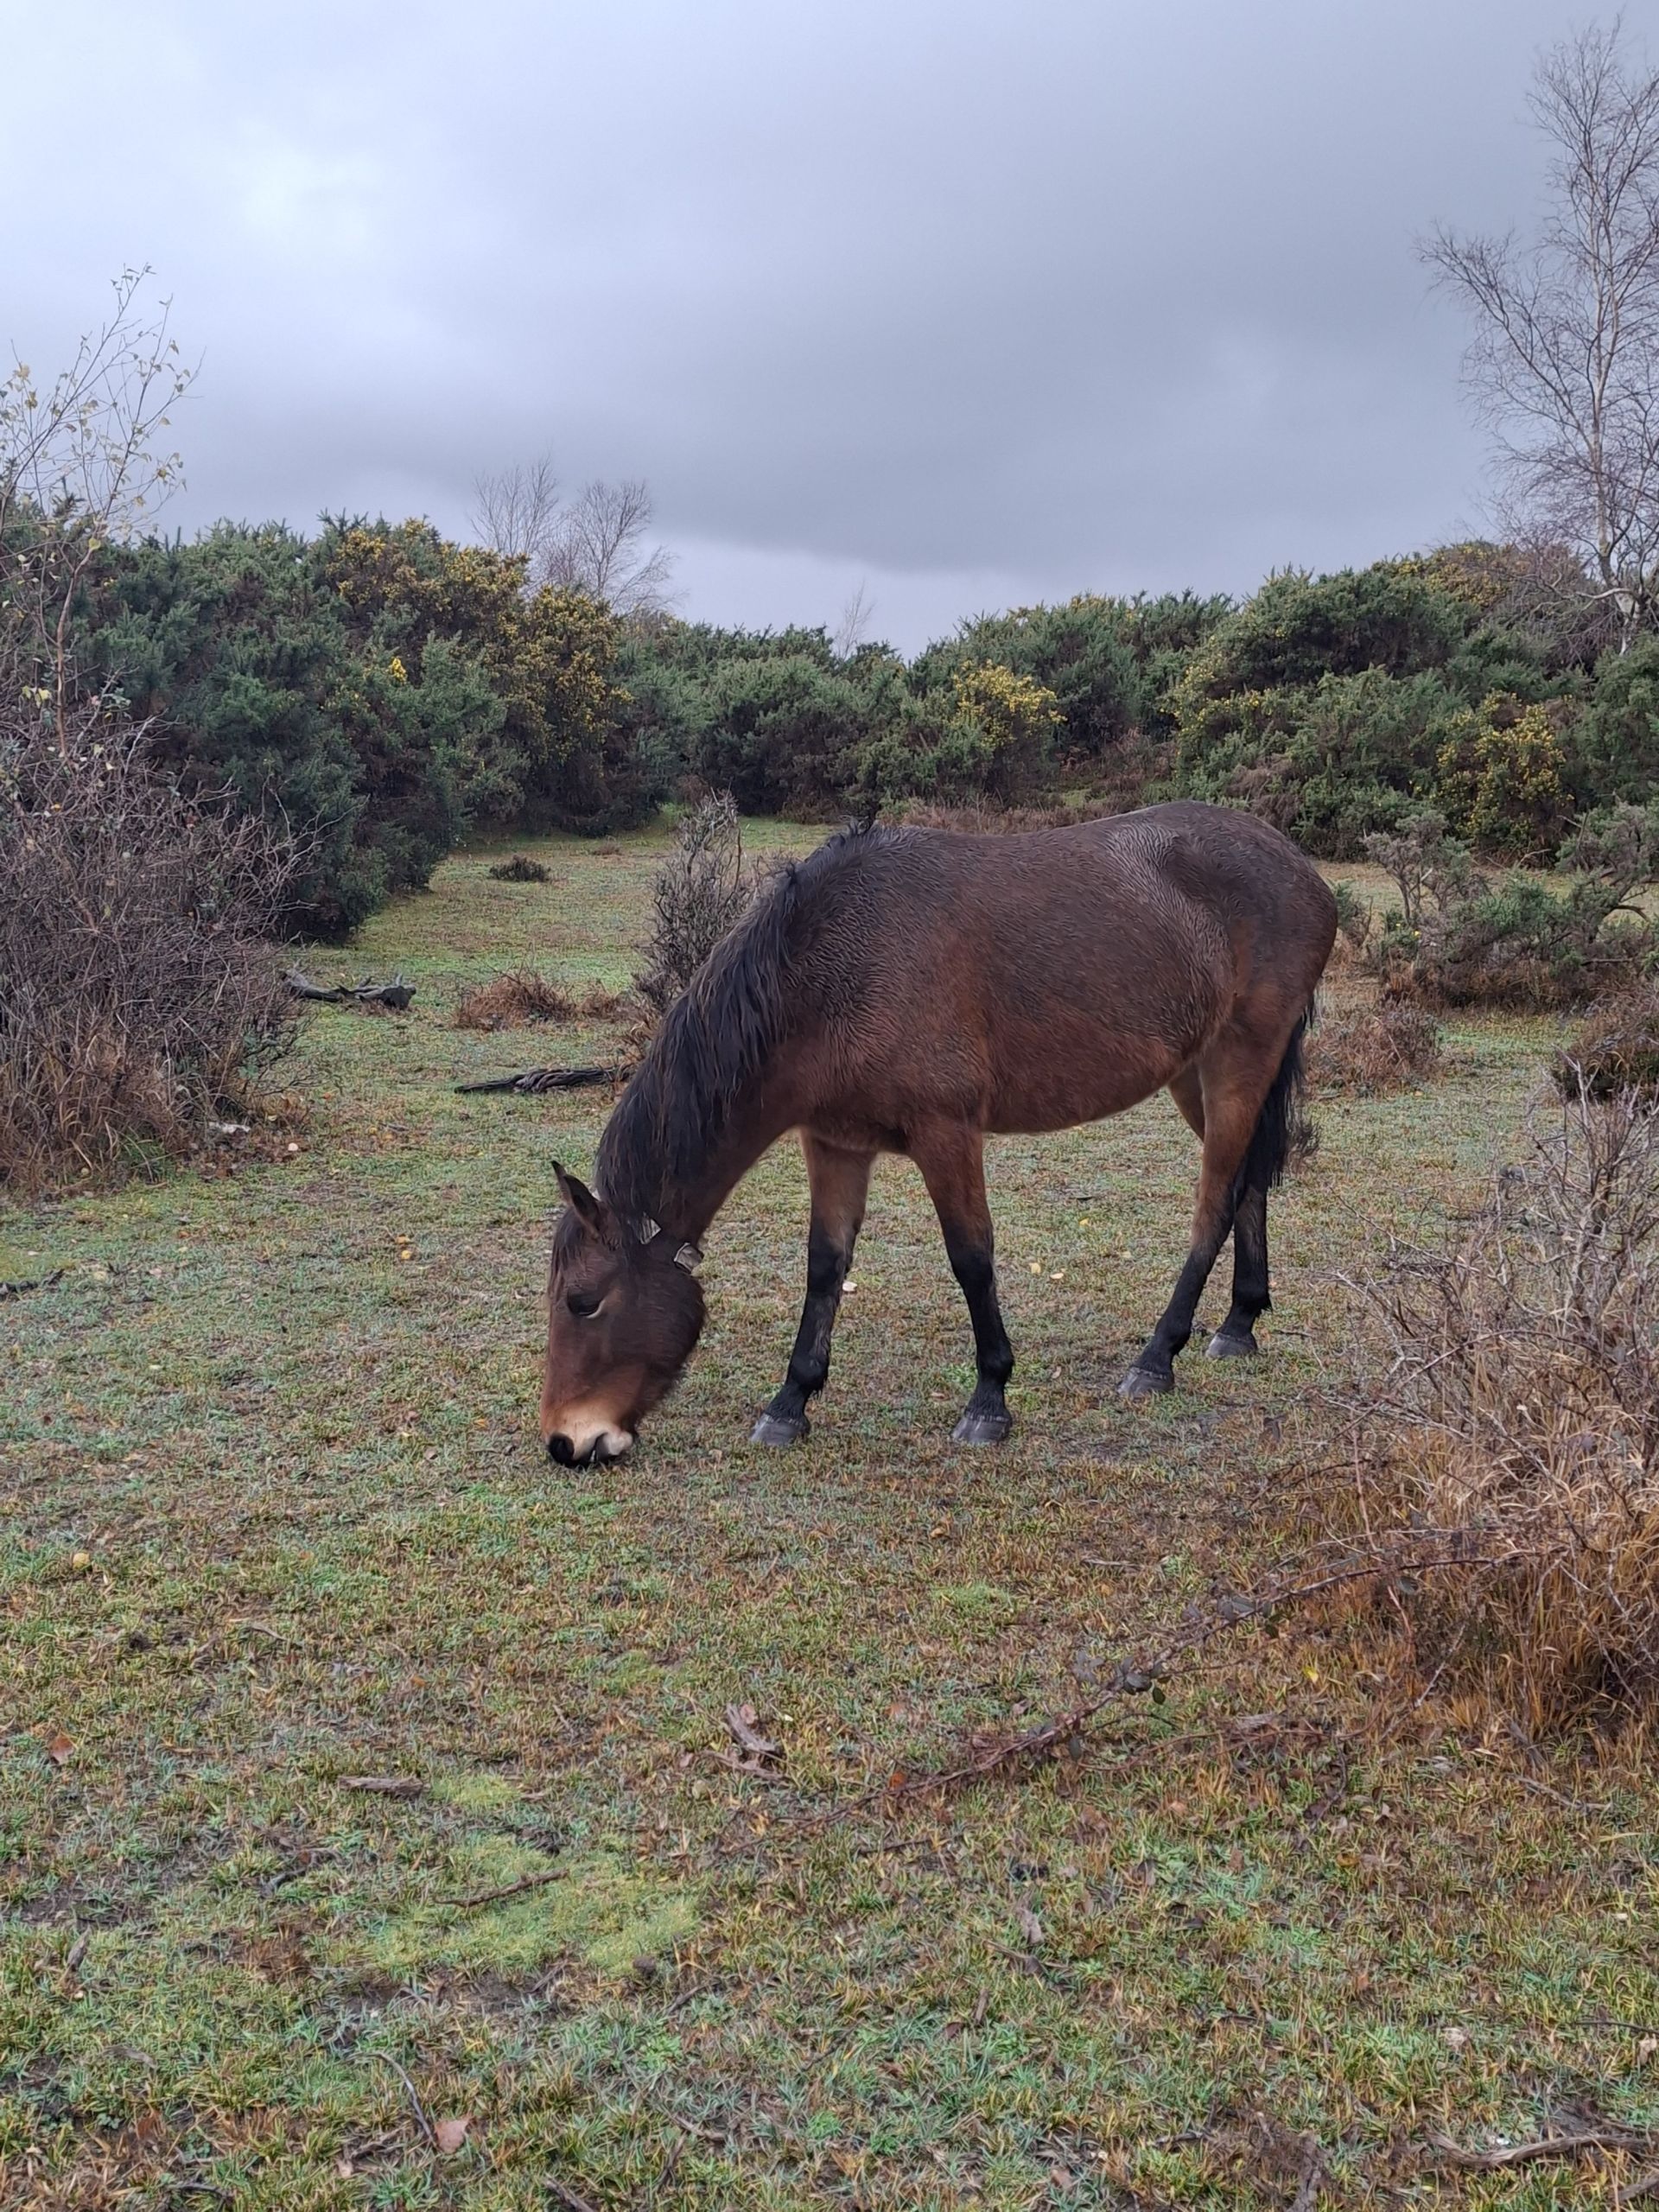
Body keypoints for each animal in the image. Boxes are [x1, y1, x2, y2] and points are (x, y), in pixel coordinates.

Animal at [539, 802, 1337, 1467]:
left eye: (584, 1301)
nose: (564, 1442)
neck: (832, 969)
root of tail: (1303, 872)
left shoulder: (947, 1134)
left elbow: (971, 1259)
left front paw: (989, 1402)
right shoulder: (834, 1143)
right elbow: (825, 1267)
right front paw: (791, 1402)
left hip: (1239, 1061)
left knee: (1214, 1203)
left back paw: (1157, 1356)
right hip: (1196, 1073)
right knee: (1249, 1182)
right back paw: (1239, 1322)